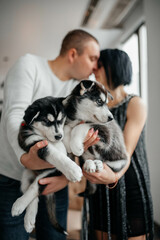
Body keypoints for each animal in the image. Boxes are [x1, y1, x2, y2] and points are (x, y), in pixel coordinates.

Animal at [10, 96, 82, 234]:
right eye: (46, 121)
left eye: (61, 120)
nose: (59, 136)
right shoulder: (33, 142)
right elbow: (55, 154)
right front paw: (73, 170)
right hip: (27, 175)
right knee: (32, 189)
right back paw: (20, 207)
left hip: (50, 174)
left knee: (35, 188)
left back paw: (28, 219)